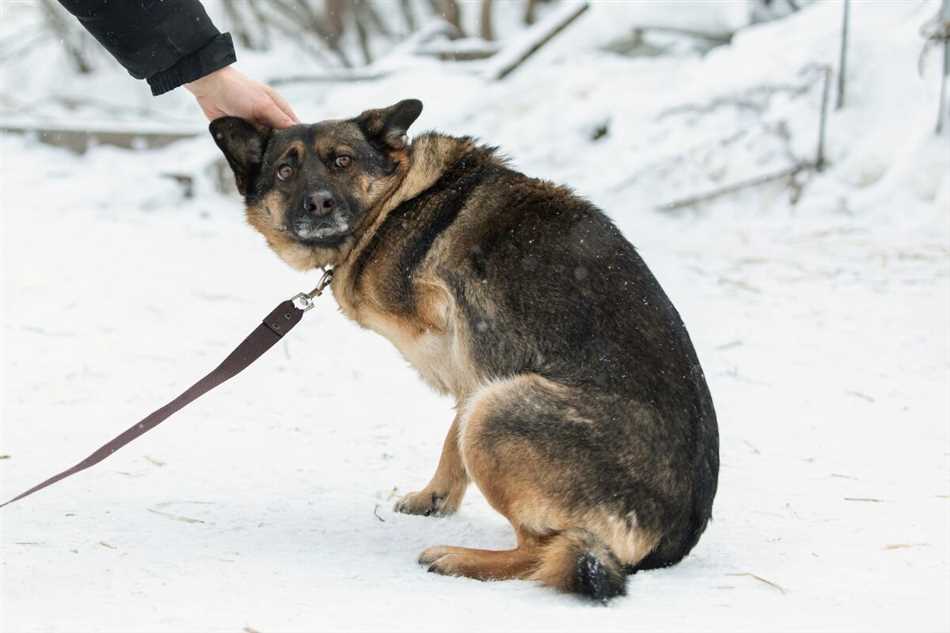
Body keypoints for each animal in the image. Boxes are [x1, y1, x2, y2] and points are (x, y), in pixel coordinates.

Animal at [212, 100, 716, 604]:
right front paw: (435, 497)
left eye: (342, 161)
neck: (396, 204)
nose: (318, 203)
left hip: (496, 410)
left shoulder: (468, 357)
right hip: (492, 405)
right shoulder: (475, 374)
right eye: (284, 171)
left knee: (539, 550)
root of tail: (673, 538)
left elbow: (453, 428)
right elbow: (450, 441)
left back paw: (459, 558)